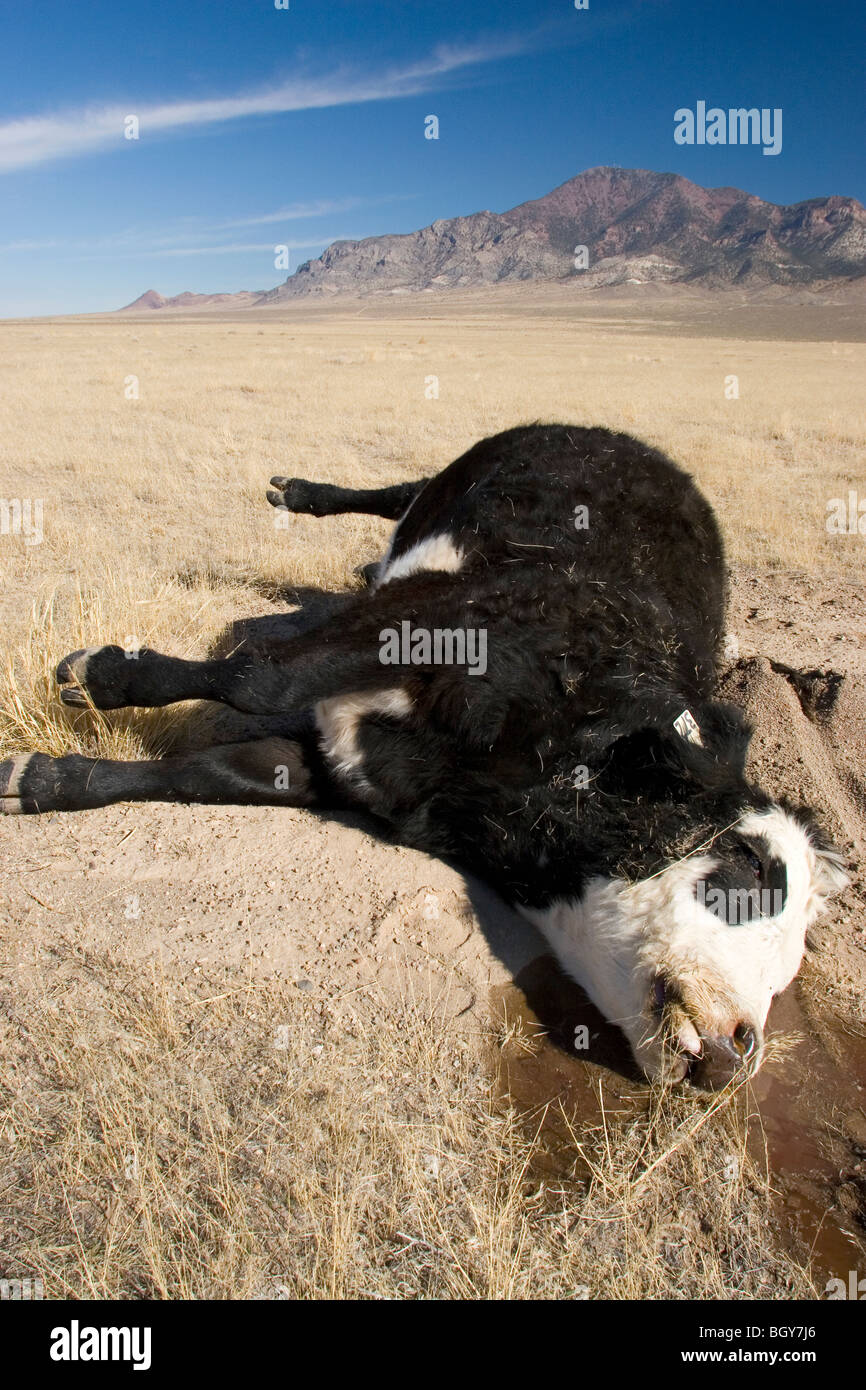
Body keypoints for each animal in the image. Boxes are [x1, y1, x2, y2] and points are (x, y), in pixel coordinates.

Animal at [0, 422, 850, 1084]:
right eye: (750, 866)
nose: (742, 1050)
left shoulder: (356, 768)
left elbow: (211, 768)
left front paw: (43, 777)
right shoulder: (432, 612)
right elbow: (257, 677)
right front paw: (100, 675)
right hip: (450, 482)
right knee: (399, 493)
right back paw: (298, 491)